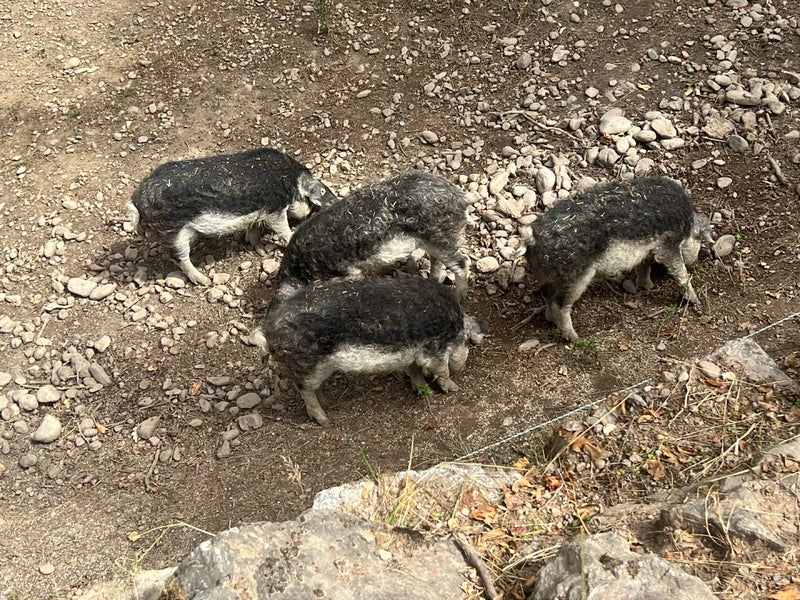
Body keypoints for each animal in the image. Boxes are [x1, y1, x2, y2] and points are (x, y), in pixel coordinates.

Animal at [127, 148, 337, 285]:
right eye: (309, 202)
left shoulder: (257, 212)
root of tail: (137, 202)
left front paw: (259, 249)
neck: (291, 182)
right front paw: (290, 234)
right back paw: (204, 280)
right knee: (180, 258)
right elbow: (282, 228)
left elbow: (253, 229)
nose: (308, 212)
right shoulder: (274, 209)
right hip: (172, 231)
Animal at [252, 277, 485, 427]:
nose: (463, 364)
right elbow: (442, 371)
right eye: (467, 343)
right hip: (308, 365)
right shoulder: (434, 350)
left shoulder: (411, 356)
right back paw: (325, 420)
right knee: (304, 390)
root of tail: (267, 332)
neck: (454, 327)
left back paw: (330, 402)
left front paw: (423, 390)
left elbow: (415, 372)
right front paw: (453, 388)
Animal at [275, 171, 471, 300]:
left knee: (462, 262)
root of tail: (462, 199)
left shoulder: (349, 271)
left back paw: (458, 296)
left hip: (442, 237)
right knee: (437, 262)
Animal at [522, 177, 712, 341]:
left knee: (546, 295)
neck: (688, 225)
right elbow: (681, 272)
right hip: (575, 277)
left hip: (550, 278)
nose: (696, 261)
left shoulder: (647, 251)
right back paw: (575, 338)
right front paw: (695, 300)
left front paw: (648, 286)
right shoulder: (668, 244)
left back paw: (551, 320)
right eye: (700, 242)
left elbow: (644, 266)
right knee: (561, 305)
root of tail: (532, 239)